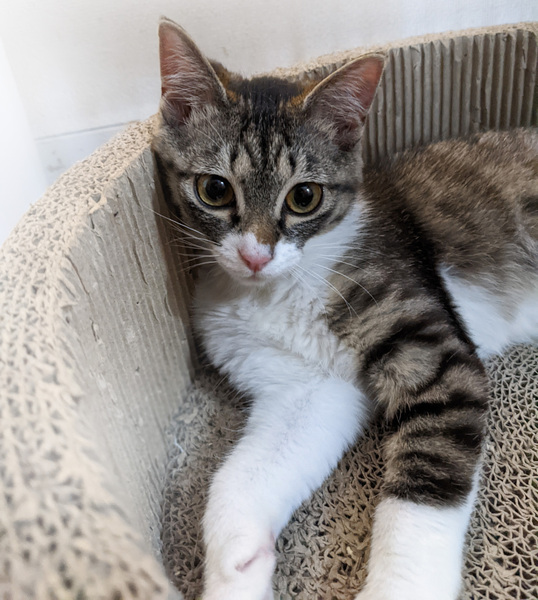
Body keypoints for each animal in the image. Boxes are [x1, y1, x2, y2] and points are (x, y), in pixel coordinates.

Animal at [152, 17, 538, 600]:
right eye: (214, 189)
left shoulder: (437, 355)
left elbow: (424, 481)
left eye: (304, 197)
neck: (277, 291)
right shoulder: (308, 387)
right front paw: (233, 570)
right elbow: (240, 481)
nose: (255, 255)